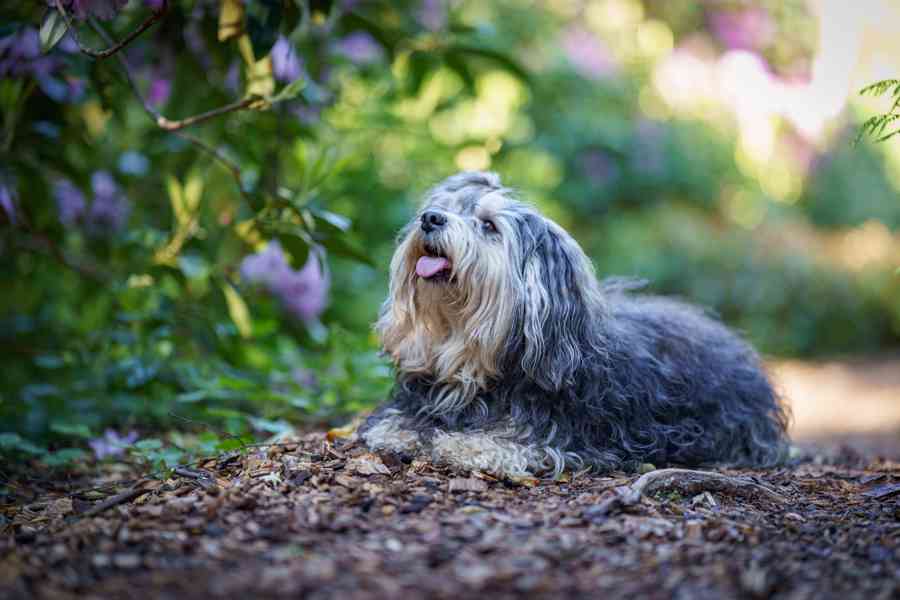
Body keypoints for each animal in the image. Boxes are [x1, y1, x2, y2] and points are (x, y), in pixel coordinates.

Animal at [358, 172, 788, 478]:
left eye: (489, 226)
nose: (430, 219)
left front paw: (464, 444)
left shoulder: (568, 432)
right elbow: (391, 425)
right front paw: (406, 431)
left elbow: (507, 442)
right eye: (443, 207)